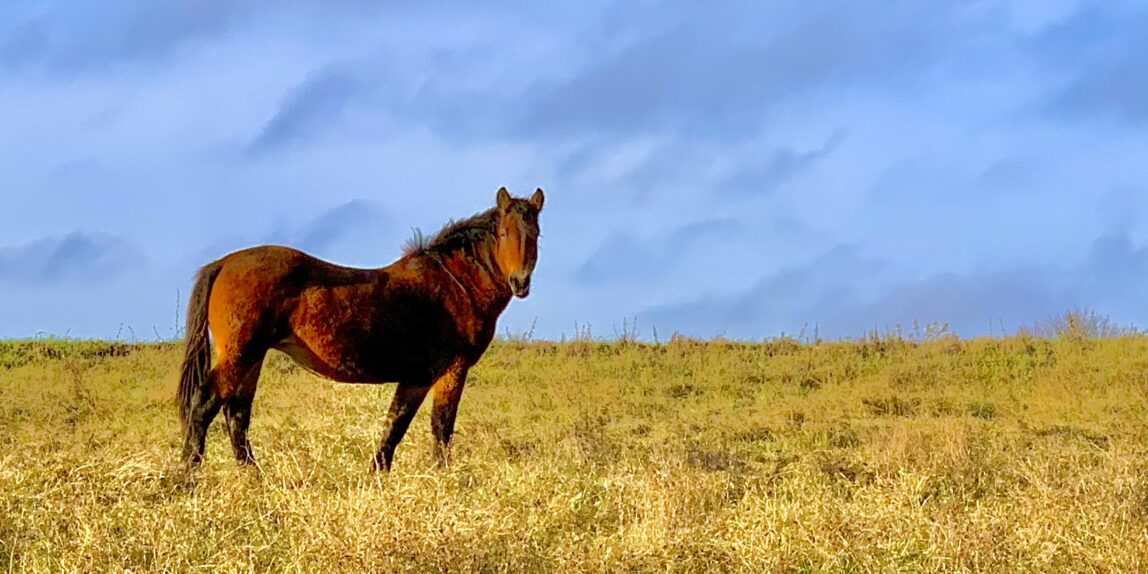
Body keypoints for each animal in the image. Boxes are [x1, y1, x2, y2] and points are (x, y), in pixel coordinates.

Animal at [177, 187, 544, 471]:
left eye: (535, 235)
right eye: (503, 233)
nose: (520, 282)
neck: (456, 284)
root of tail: (224, 263)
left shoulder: (417, 378)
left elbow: (395, 424)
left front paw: (378, 473)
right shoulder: (452, 370)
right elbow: (441, 425)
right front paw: (444, 477)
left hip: (251, 358)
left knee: (236, 414)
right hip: (240, 354)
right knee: (204, 404)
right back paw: (188, 475)